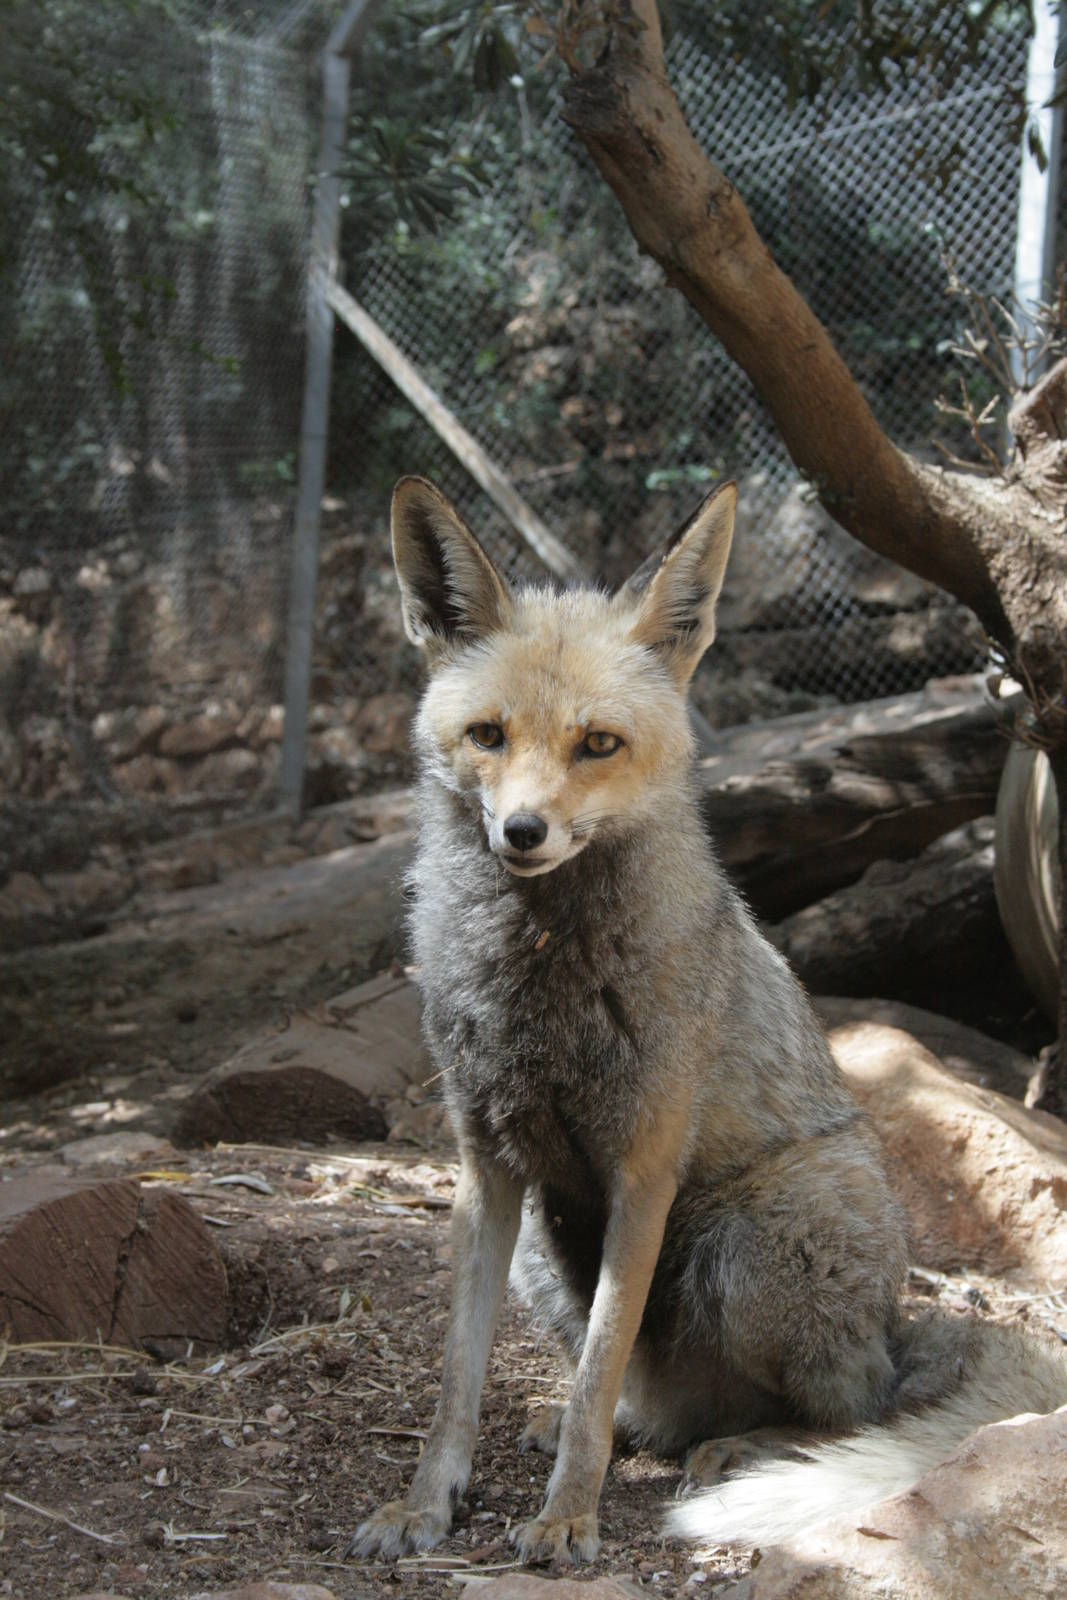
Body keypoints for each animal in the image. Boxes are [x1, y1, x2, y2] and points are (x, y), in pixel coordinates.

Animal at [352, 474, 1067, 1565]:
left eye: (597, 744)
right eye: (487, 736)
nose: (521, 832)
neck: (541, 978)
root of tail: (894, 1328)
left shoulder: (640, 1168)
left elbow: (597, 1370)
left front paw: (566, 1517)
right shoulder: (486, 1164)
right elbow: (458, 1380)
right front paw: (427, 1503)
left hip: (755, 1238)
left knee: (845, 1411)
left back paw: (743, 1448)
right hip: (542, 1254)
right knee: (642, 1406)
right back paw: (643, 1429)